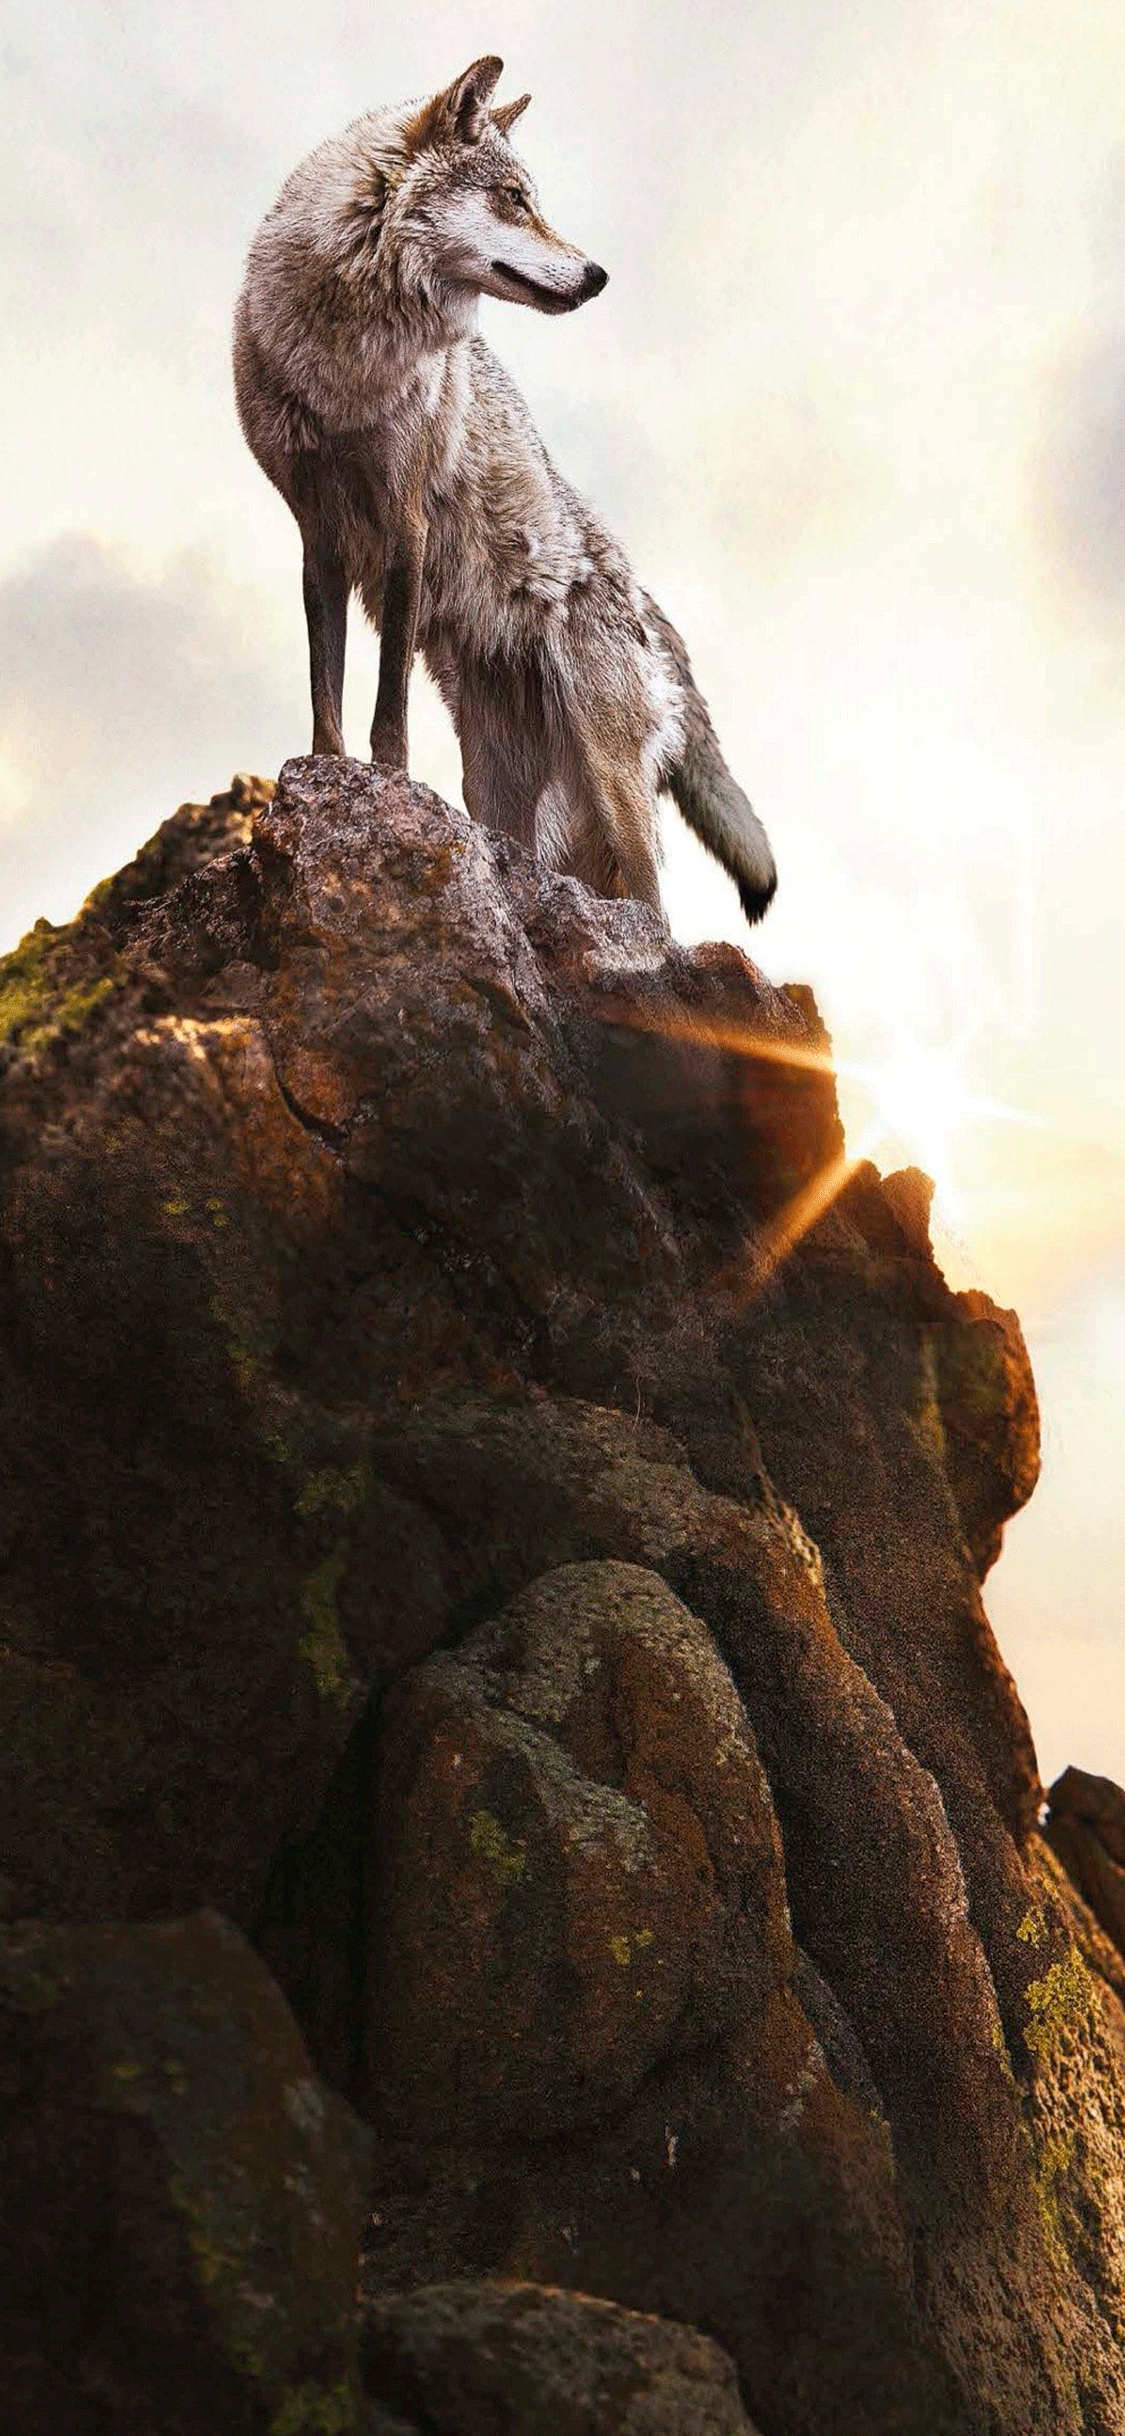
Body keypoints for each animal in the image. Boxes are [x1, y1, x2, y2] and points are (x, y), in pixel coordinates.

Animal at [233, 56, 776, 923]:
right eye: (514, 200)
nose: (597, 275)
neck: (347, 363)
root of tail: (648, 608)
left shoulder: (405, 525)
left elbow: (387, 709)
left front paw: (386, 788)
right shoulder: (317, 534)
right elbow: (328, 694)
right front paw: (325, 783)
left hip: (608, 786)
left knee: (658, 913)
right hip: (494, 785)